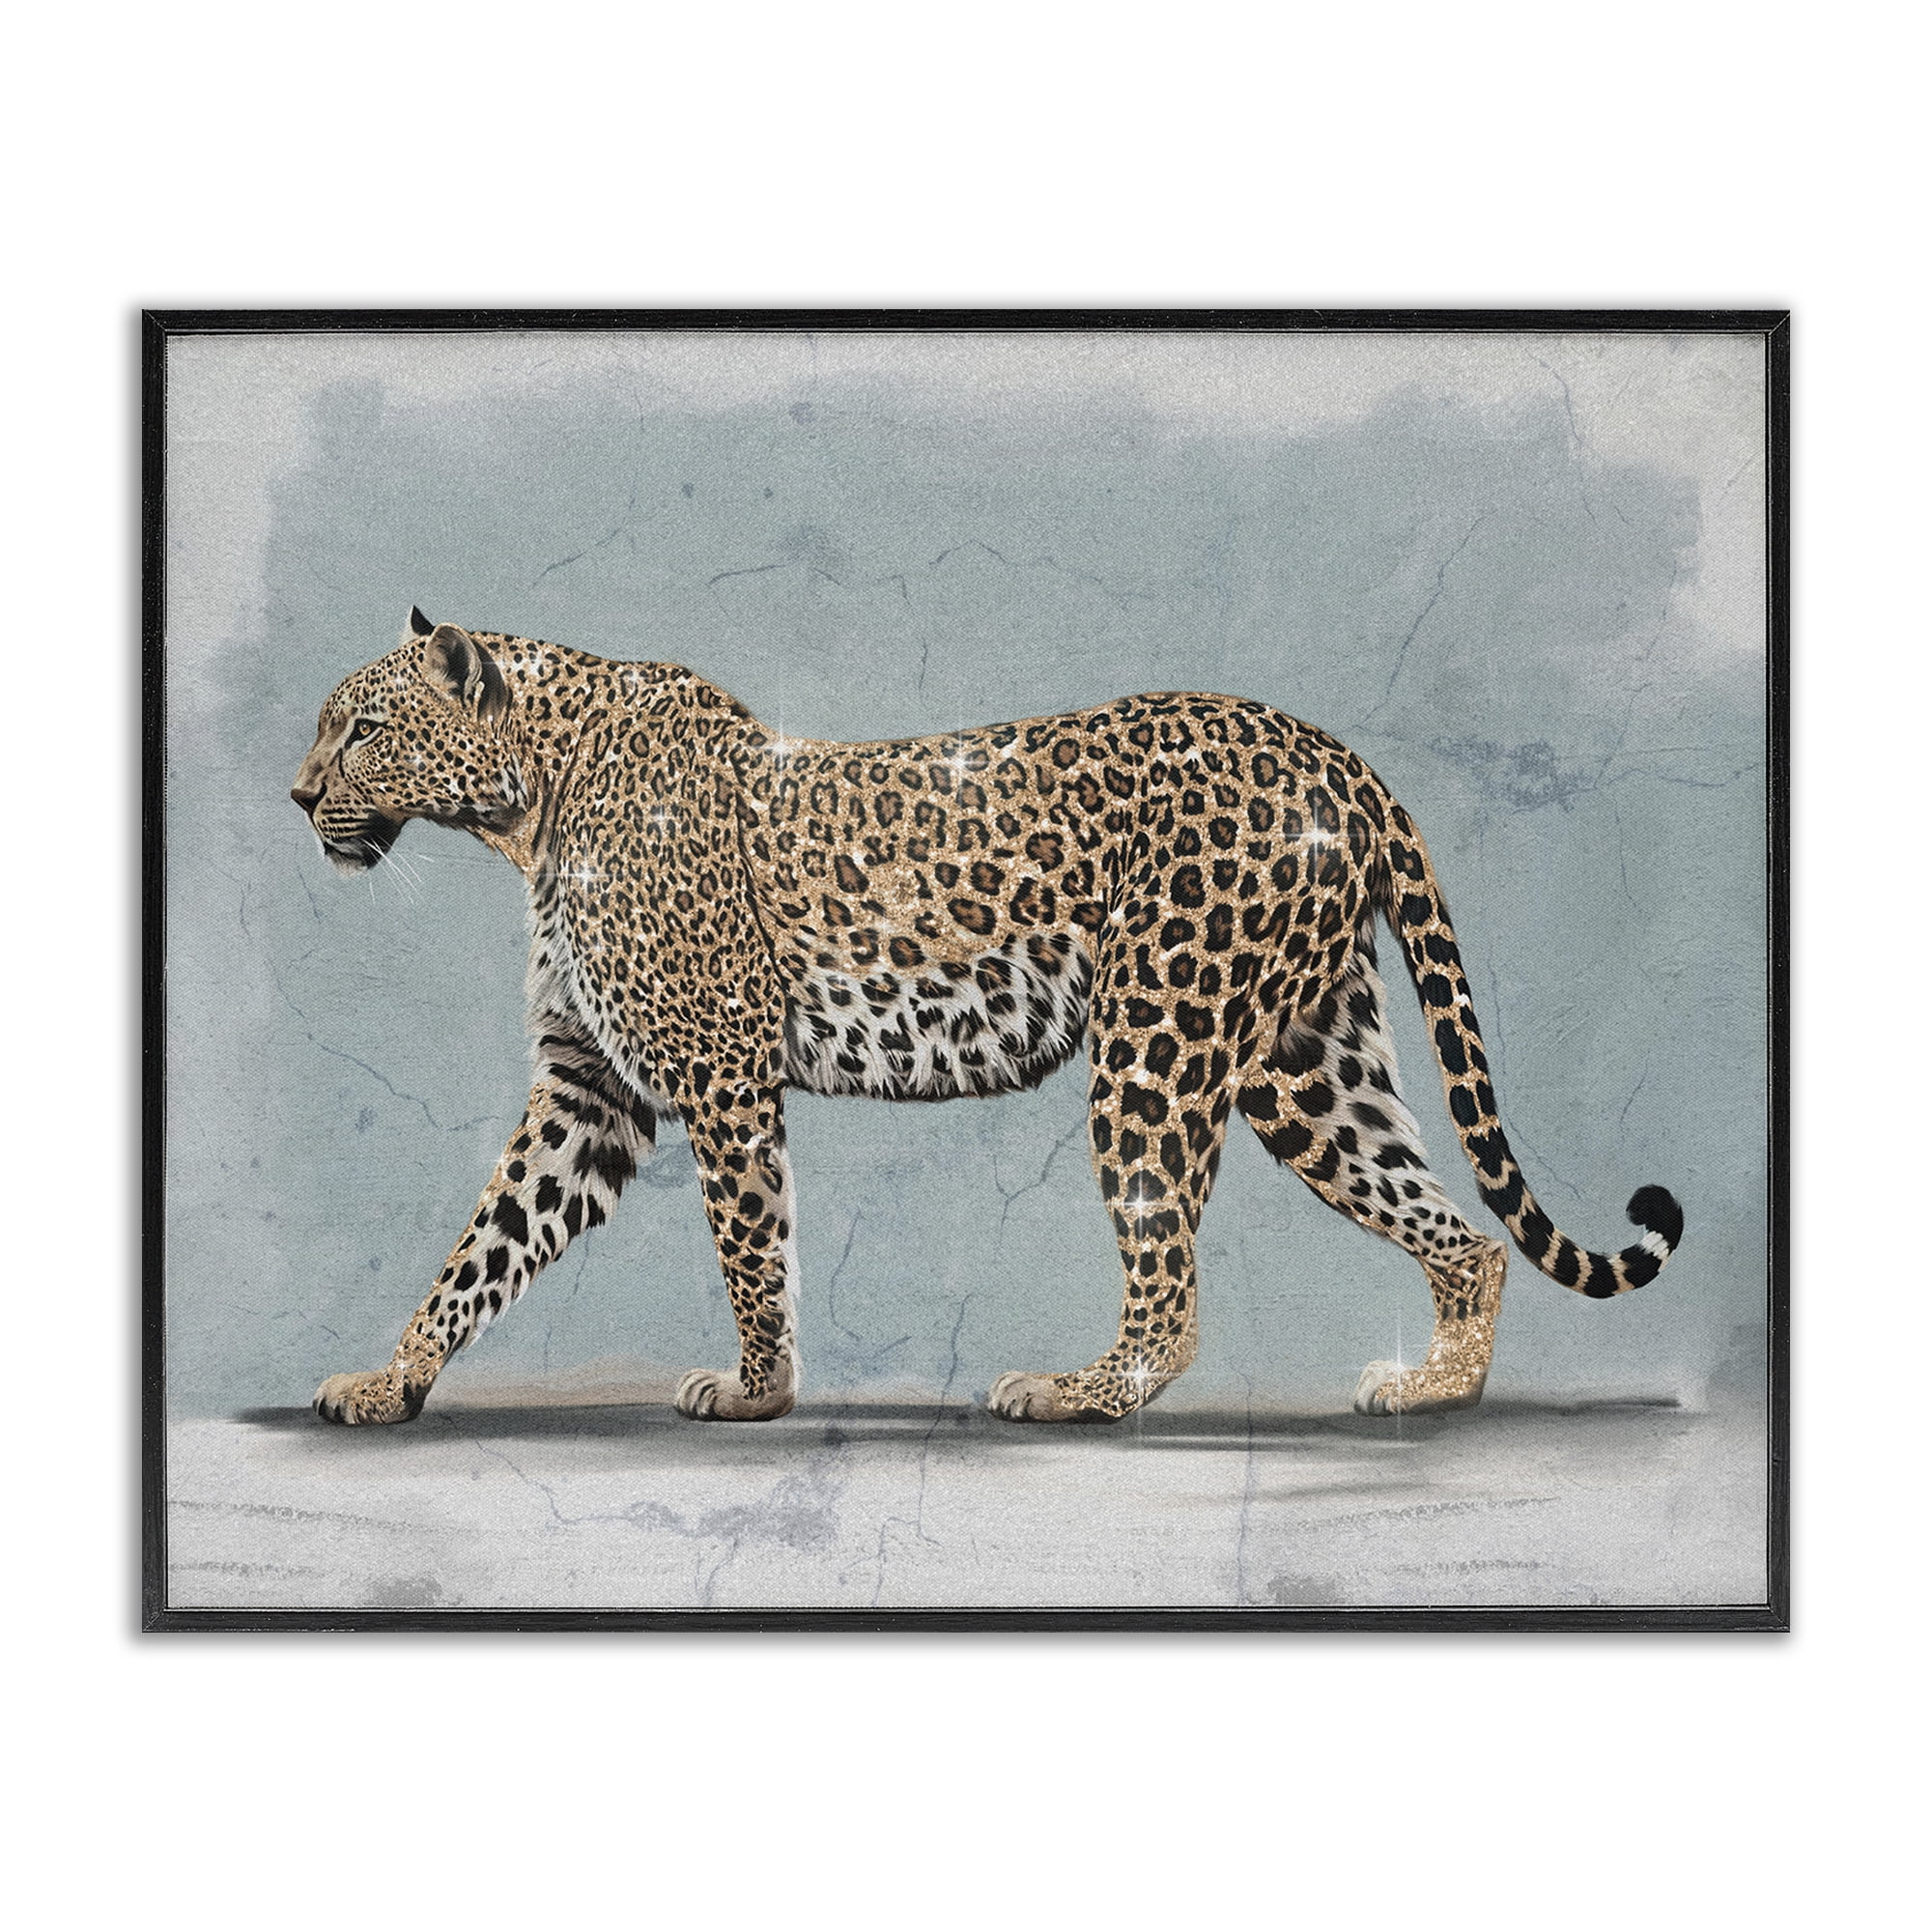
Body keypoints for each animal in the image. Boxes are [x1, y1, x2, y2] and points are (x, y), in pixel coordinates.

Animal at [293, 608, 1684, 1428]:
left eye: (362, 728)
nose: (298, 793)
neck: (530, 805)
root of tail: (1332, 751)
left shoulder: (719, 1074)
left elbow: (750, 1246)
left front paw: (755, 1390)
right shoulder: (591, 1087)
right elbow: (485, 1242)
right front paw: (390, 1378)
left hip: (1160, 1038)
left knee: (1171, 1285)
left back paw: (1076, 1390)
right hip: (1309, 1061)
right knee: (1458, 1231)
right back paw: (1435, 1384)